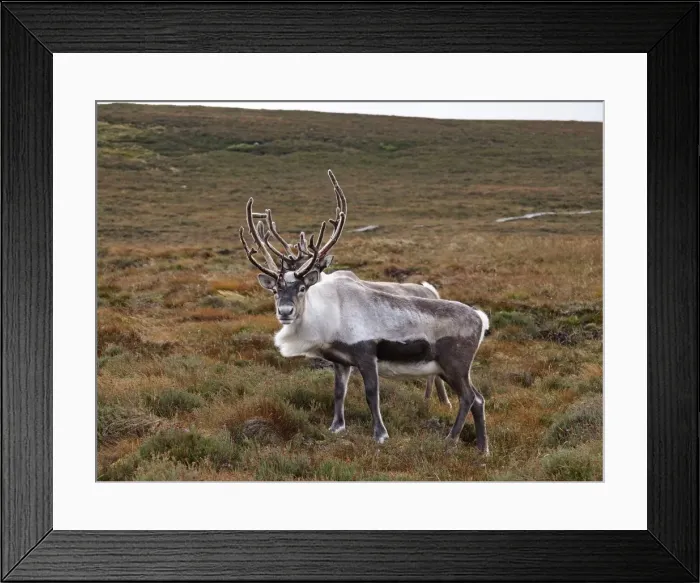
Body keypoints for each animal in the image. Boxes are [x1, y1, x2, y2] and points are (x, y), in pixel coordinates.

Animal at [239, 170, 490, 452]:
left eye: (302, 287)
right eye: (275, 290)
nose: (285, 310)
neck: (331, 314)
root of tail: (480, 319)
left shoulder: (367, 355)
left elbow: (372, 395)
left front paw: (380, 434)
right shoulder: (341, 361)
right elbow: (339, 392)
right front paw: (336, 427)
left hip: (455, 365)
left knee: (469, 397)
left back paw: (452, 438)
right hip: (448, 369)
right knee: (478, 399)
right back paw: (482, 449)